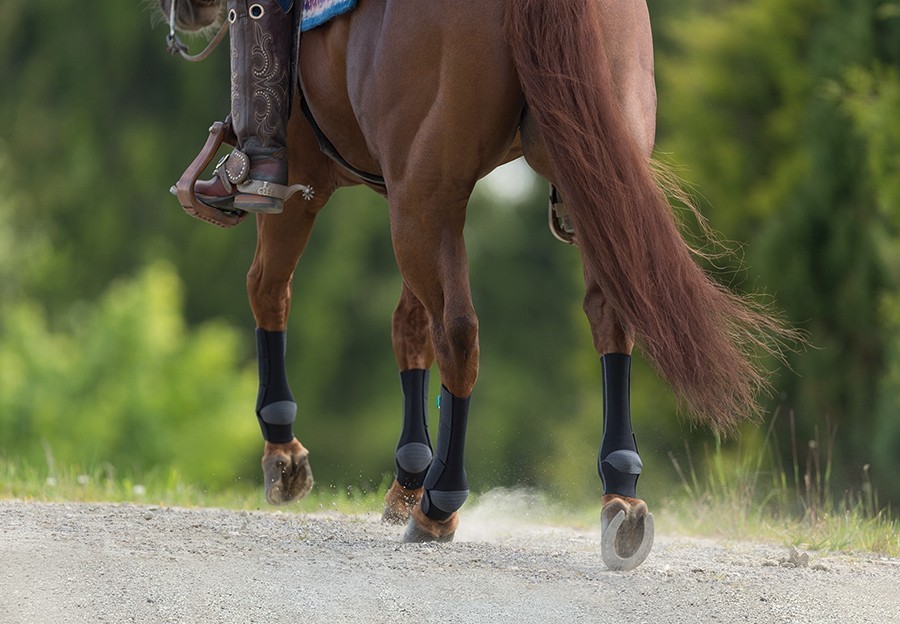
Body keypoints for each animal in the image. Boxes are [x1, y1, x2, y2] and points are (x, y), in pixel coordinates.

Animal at [159, 0, 786, 570]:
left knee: (458, 331)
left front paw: (286, 454)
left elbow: (269, 289)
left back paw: (439, 505)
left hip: (422, 199)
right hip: (574, 180)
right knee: (604, 316)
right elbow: (409, 328)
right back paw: (620, 496)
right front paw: (407, 473)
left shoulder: (317, 184)